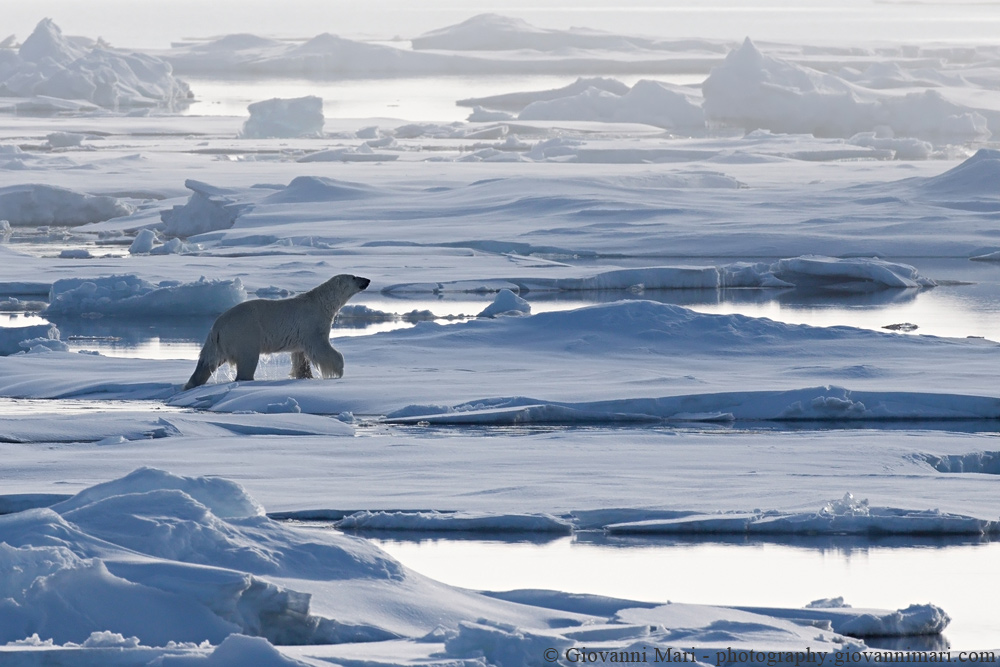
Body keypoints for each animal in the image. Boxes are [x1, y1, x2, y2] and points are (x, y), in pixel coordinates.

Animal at [183, 274, 370, 390]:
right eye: (354, 277)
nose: (367, 280)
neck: (321, 301)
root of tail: (217, 327)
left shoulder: (300, 334)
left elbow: (300, 356)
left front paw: (305, 375)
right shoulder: (312, 323)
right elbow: (320, 347)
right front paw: (339, 369)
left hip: (218, 343)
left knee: (206, 363)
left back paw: (192, 383)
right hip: (244, 333)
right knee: (248, 360)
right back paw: (247, 379)